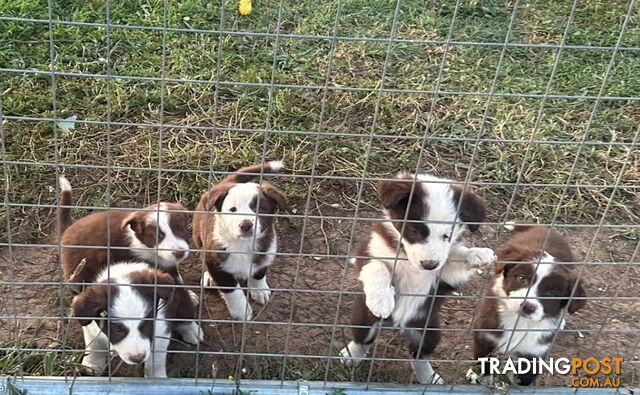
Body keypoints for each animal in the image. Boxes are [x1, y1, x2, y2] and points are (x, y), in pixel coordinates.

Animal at [70, 262, 200, 378]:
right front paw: (92, 365)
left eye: (146, 324)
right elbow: (94, 345)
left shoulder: (161, 328)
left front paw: (156, 377)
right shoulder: (90, 323)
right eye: (117, 330)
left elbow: (156, 360)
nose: (138, 358)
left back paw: (191, 329)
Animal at [338, 173, 498, 384]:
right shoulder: (368, 251)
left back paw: (429, 377)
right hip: (363, 318)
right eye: (414, 231)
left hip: (428, 331)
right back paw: (352, 355)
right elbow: (377, 267)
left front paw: (476, 254)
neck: (407, 257)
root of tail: (398, 326)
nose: (429, 265)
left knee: (418, 355)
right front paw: (382, 300)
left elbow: (454, 256)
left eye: (447, 236)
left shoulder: (444, 276)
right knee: (363, 340)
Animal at [472, 224, 588, 386]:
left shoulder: (535, 351)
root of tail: (545, 228)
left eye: (551, 292)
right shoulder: (486, 334)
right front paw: (477, 377)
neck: (520, 323)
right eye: (522, 278)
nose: (527, 307)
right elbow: (484, 361)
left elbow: (525, 378)